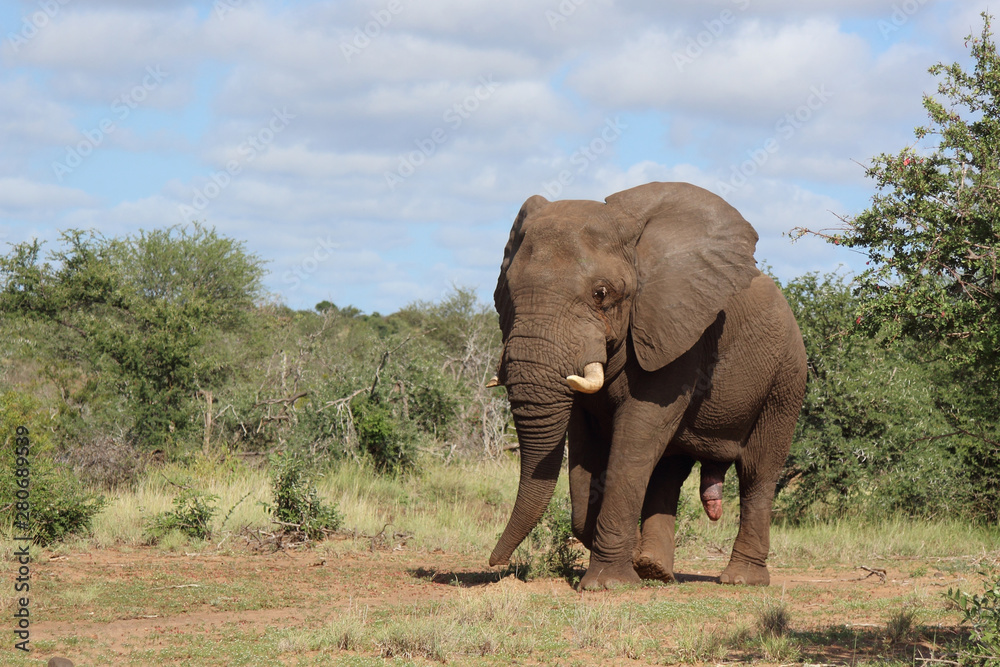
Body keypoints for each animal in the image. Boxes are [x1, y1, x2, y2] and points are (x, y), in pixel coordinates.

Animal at [488, 181, 808, 588]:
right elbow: (586, 444)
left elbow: (636, 436)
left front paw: (607, 585)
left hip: (785, 378)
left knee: (758, 470)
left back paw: (740, 580)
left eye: (601, 293)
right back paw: (655, 569)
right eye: (507, 292)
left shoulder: (680, 333)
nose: (496, 565)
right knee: (670, 471)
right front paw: (621, 558)